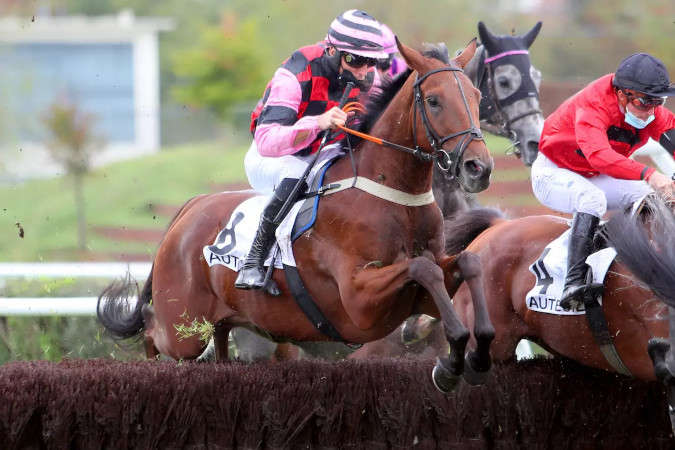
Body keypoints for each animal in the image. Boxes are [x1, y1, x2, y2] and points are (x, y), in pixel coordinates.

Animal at [98, 38, 496, 391]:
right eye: (434, 100)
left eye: (477, 97)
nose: (479, 167)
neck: (393, 197)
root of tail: (190, 208)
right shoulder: (360, 303)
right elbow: (423, 268)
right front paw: (453, 360)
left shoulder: (418, 294)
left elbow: (468, 262)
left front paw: (474, 354)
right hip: (183, 327)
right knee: (152, 331)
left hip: (223, 325)